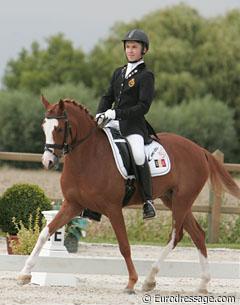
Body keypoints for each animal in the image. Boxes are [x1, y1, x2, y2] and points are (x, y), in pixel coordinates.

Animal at [18, 97, 240, 292]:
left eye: (59, 128)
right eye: (43, 127)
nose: (47, 162)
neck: (88, 157)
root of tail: (200, 150)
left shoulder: (113, 208)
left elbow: (124, 245)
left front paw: (131, 282)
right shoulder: (72, 205)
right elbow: (45, 233)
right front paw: (24, 274)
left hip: (182, 201)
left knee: (176, 235)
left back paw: (149, 280)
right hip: (172, 199)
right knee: (198, 234)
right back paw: (202, 284)